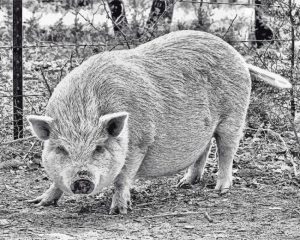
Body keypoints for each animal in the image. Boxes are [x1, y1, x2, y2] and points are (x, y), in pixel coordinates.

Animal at [27, 30, 290, 214]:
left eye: (99, 148)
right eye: (61, 149)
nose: (82, 180)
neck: (82, 110)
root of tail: (239, 57)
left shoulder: (140, 143)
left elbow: (122, 178)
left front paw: (119, 211)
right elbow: (55, 182)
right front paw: (38, 203)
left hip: (234, 115)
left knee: (226, 150)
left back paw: (220, 189)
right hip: (207, 126)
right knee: (204, 148)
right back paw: (184, 183)